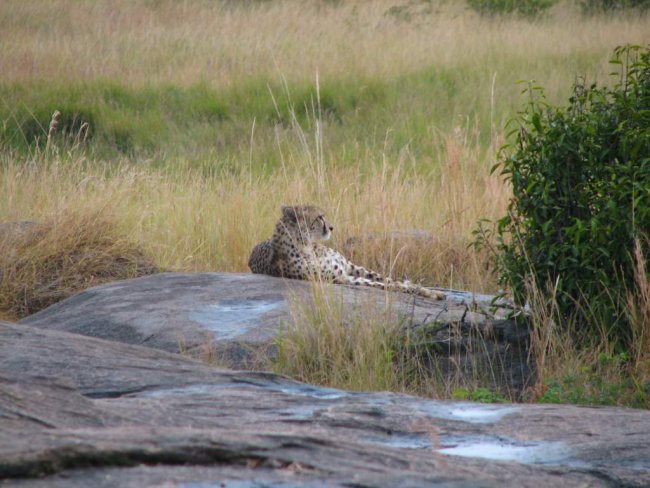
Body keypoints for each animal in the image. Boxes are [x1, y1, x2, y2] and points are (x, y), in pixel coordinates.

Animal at [246, 204, 442, 300]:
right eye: (319, 217)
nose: (332, 227)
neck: (307, 247)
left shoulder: (350, 267)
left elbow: (387, 279)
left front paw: (423, 289)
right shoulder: (339, 278)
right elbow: (381, 284)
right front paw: (424, 292)